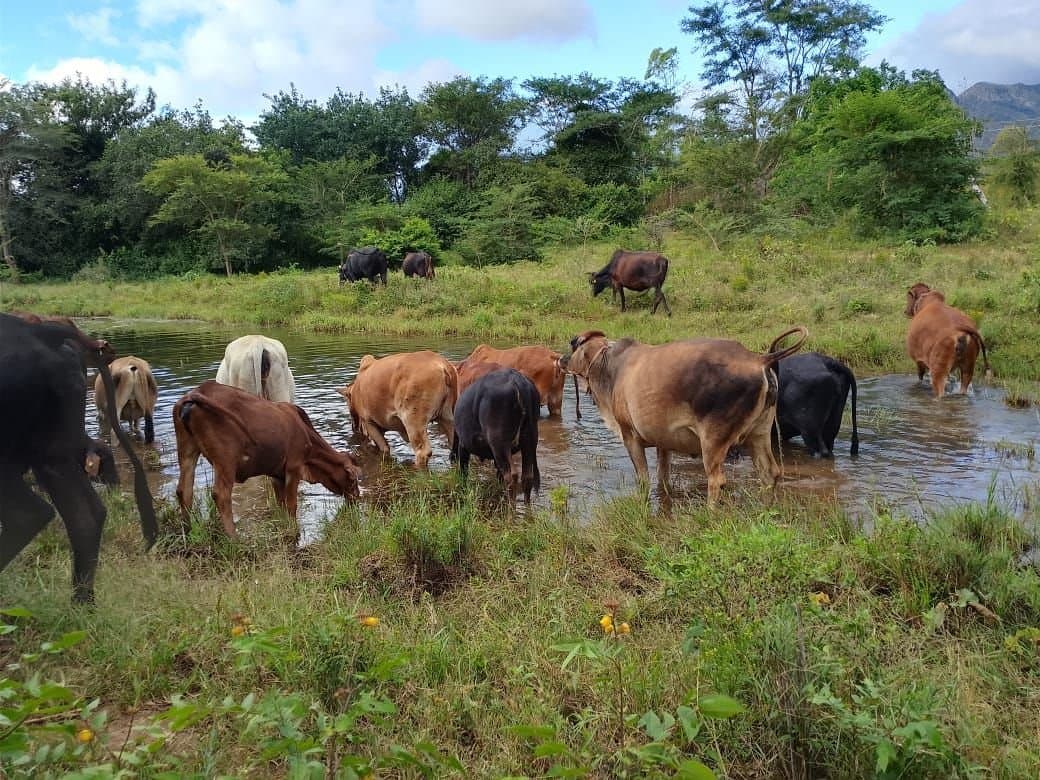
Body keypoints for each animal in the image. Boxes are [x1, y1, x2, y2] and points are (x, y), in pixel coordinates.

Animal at [173, 380, 361, 538]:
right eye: (352, 479)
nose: (357, 497)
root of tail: (197, 392)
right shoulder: (293, 467)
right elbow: (292, 504)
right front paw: (294, 530)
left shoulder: (277, 474)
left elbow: (281, 503)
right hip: (225, 459)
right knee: (221, 495)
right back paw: (234, 538)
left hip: (187, 449)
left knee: (184, 491)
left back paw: (187, 531)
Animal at [452, 368, 541, 501]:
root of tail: (517, 380)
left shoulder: (463, 446)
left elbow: (463, 471)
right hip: (529, 439)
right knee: (527, 477)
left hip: (499, 443)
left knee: (511, 476)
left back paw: (511, 506)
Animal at [561, 327, 807, 505]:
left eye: (574, 343)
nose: (562, 360)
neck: (610, 367)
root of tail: (758, 360)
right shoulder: (663, 442)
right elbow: (662, 477)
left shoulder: (630, 436)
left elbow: (643, 480)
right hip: (760, 433)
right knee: (770, 473)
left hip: (713, 439)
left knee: (717, 480)